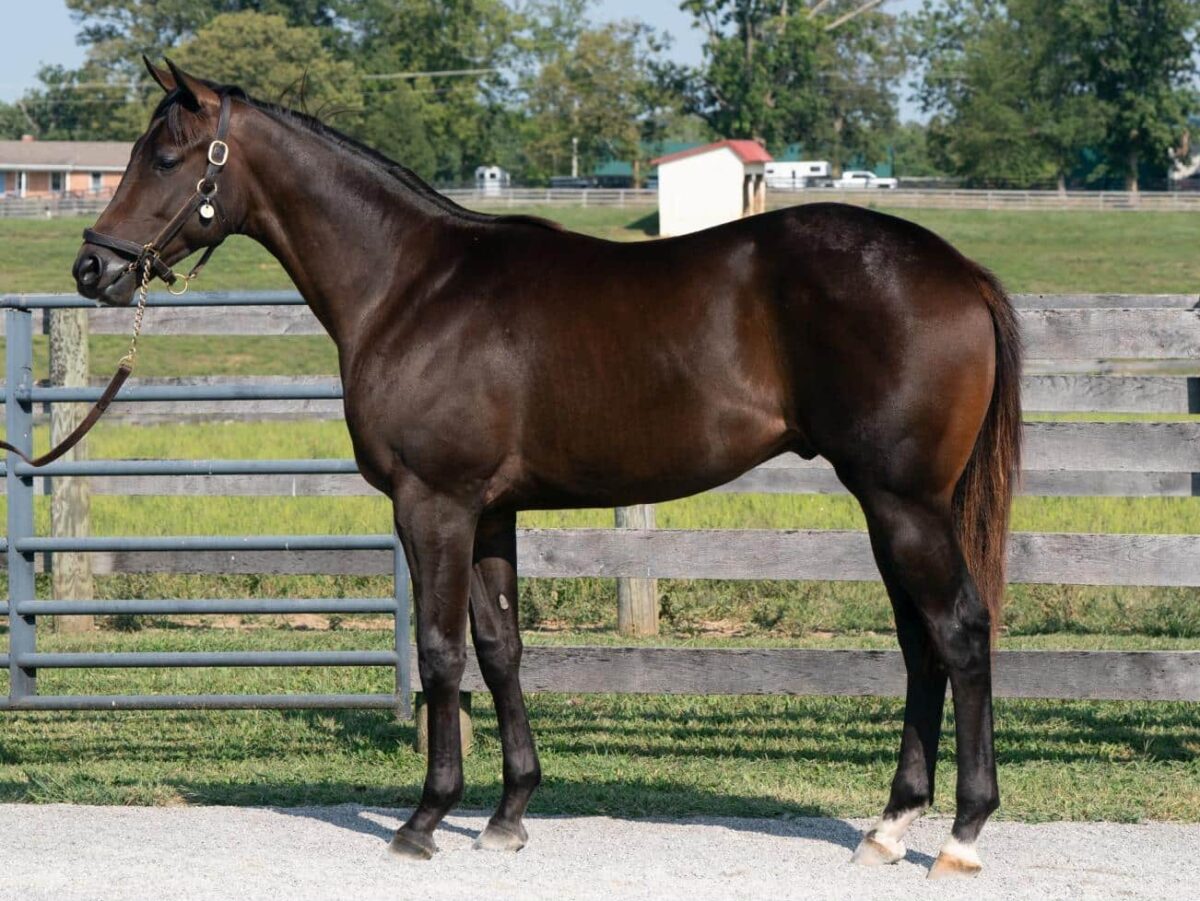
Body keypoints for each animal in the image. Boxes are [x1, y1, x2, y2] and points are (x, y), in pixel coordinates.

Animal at [70, 61, 1017, 883]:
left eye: (165, 157)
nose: (93, 266)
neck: (413, 286)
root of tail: (958, 271)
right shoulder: (491, 512)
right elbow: (501, 647)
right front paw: (509, 812)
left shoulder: (434, 504)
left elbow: (442, 652)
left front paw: (425, 818)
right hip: (891, 507)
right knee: (921, 645)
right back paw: (889, 827)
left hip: (904, 503)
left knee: (960, 630)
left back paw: (963, 834)